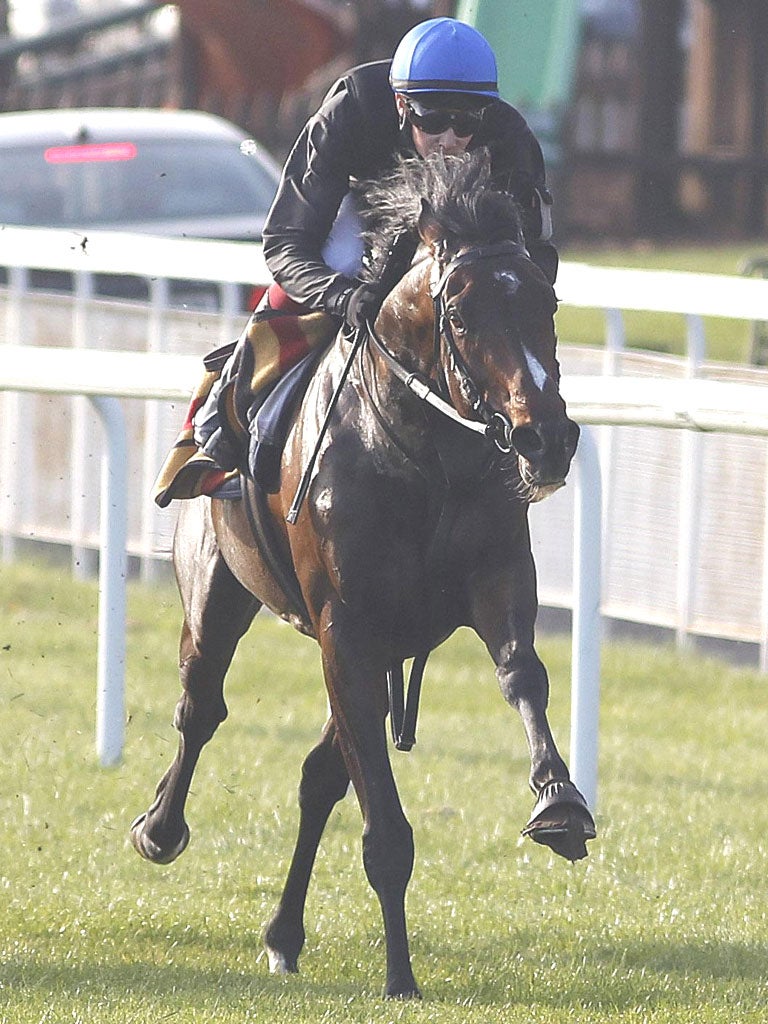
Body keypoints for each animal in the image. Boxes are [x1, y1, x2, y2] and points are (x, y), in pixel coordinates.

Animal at [132, 151, 598, 999]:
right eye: (461, 317)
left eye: (547, 302)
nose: (544, 439)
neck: (421, 455)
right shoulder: (345, 629)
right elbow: (385, 828)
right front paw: (401, 978)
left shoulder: (487, 583)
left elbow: (523, 672)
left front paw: (560, 801)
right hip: (218, 590)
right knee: (201, 707)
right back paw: (159, 828)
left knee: (320, 773)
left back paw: (284, 934)